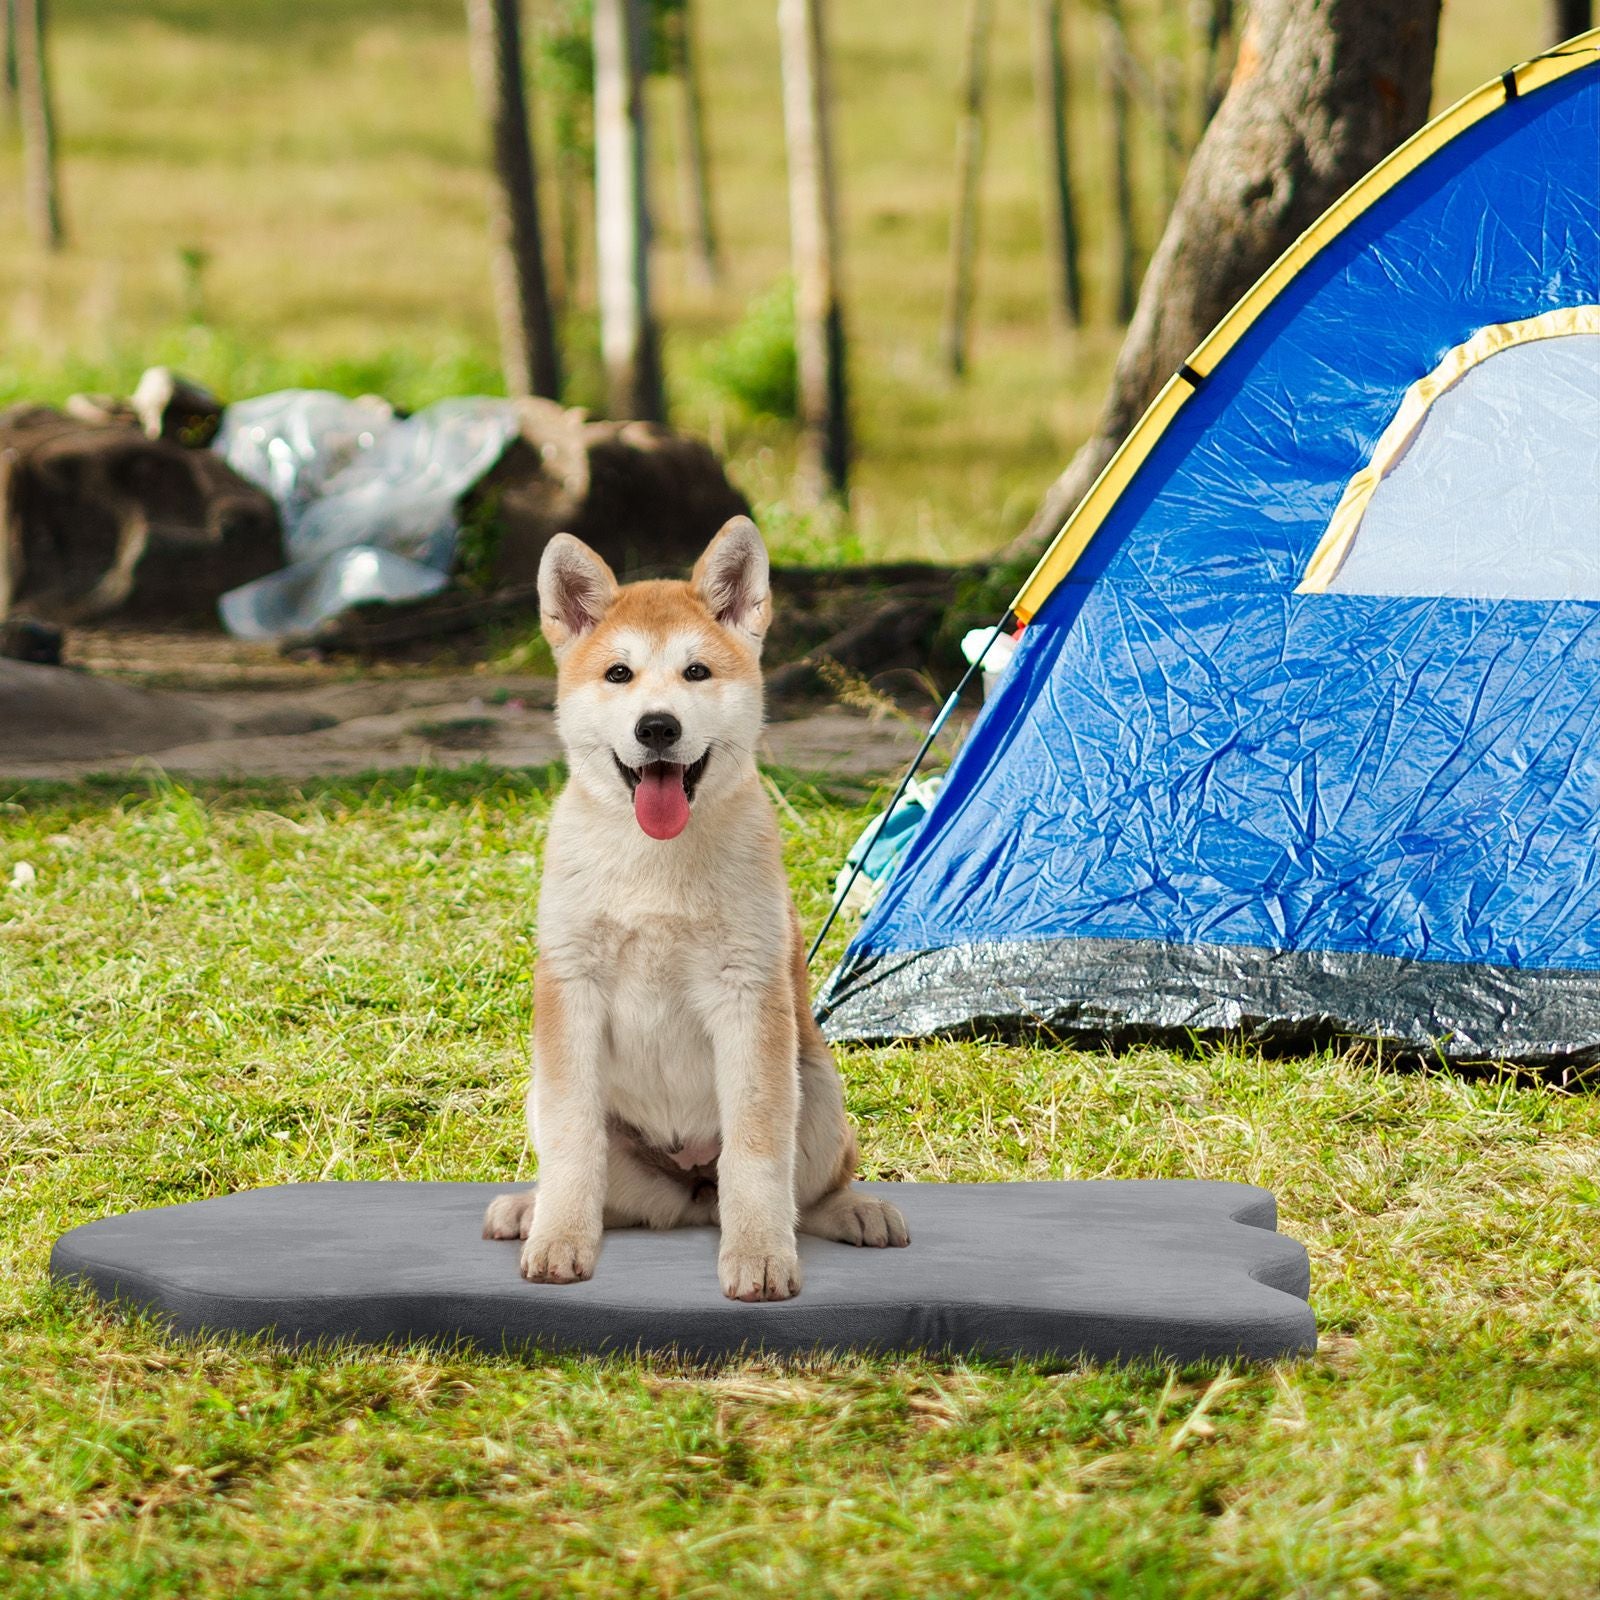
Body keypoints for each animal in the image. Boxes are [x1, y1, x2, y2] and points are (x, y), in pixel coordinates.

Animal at [486, 518, 908, 1292]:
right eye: (618, 674)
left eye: (697, 674)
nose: (657, 727)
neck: (656, 859)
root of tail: (689, 1189)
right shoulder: (571, 987)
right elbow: (572, 1141)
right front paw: (559, 1237)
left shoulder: (747, 994)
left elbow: (756, 1150)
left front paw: (760, 1255)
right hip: (562, 1102)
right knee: (619, 1198)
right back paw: (530, 1209)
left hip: (815, 1087)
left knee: (807, 1189)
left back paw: (852, 1212)